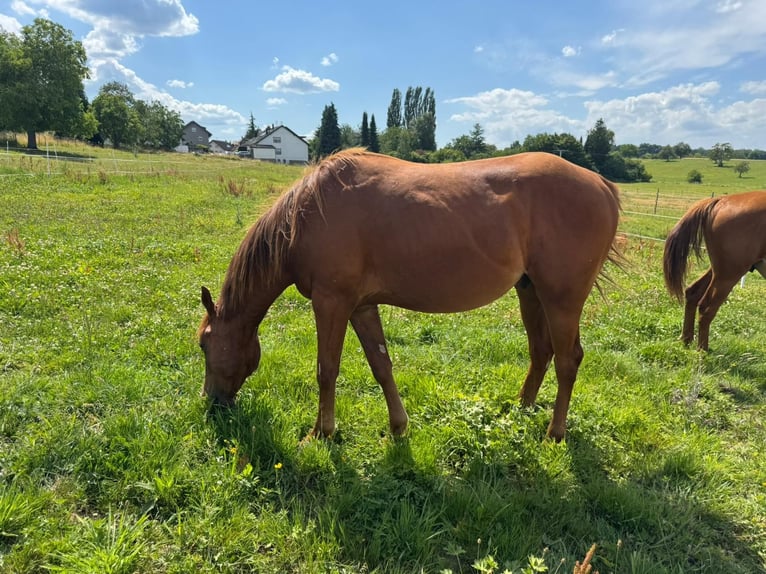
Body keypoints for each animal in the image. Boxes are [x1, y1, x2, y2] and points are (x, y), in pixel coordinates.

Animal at [198, 149, 621, 442]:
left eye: (204, 343)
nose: (211, 402)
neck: (306, 216)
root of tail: (602, 183)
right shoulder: (361, 306)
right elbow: (381, 366)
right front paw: (399, 426)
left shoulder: (331, 302)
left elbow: (326, 370)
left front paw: (321, 433)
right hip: (530, 292)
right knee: (541, 352)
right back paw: (520, 411)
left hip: (562, 300)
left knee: (567, 361)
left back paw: (555, 432)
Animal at [663, 190, 766, 351]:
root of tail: (721, 200)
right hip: (728, 275)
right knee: (706, 307)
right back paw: (702, 351)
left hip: (719, 271)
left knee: (692, 293)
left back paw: (686, 340)